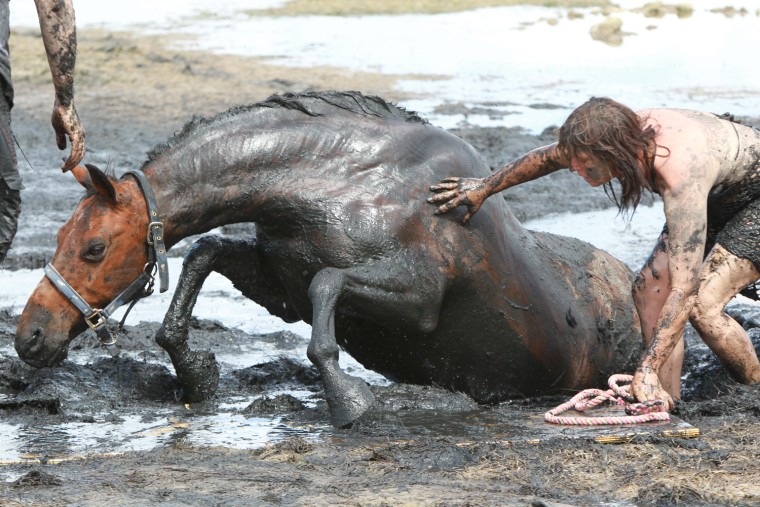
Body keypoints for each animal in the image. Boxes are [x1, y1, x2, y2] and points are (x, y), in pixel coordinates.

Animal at [14, 91, 640, 428]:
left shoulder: (418, 301)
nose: (30, 337)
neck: (341, 182)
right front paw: (196, 373)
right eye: (60, 236)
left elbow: (328, 286)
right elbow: (206, 253)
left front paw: (349, 401)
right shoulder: (282, 287)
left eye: (94, 248)